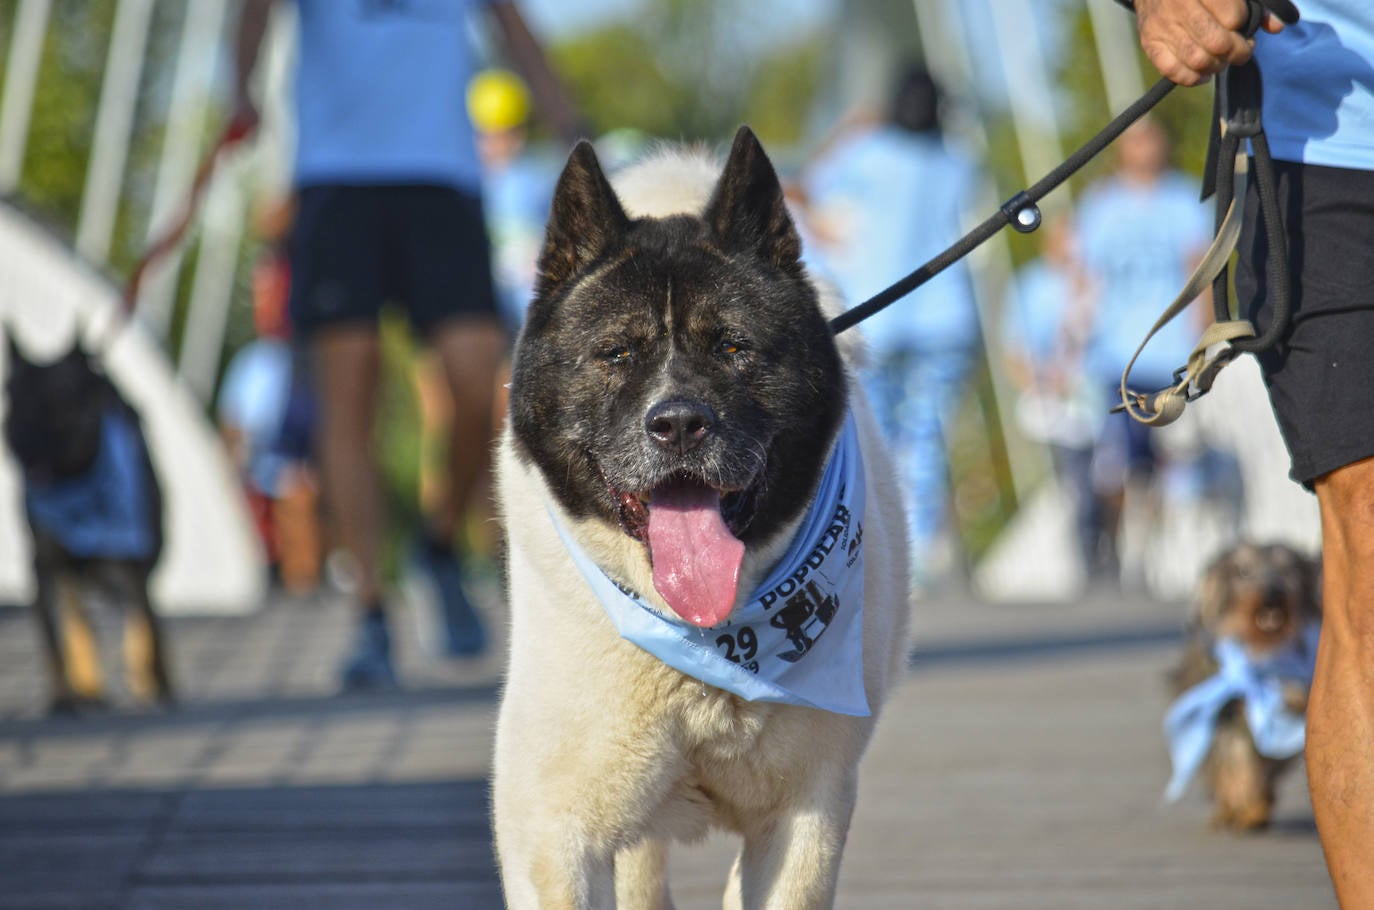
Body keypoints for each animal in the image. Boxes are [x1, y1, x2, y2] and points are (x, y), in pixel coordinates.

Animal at [3, 331, 174, 714]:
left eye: (57, 398)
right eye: (10, 397)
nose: (19, 442)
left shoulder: (136, 564)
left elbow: (146, 628)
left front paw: (158, 685)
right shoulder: (44, 565)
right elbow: (55, 639)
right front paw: (62, 697)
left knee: (140, 620)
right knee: (79, 622)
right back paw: (89, 687)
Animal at [494, 129, 912, 910]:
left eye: (733, 347)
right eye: (616, 353)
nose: (680, 423)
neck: (706, 638)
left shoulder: (803, 818)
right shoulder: (554, 833)